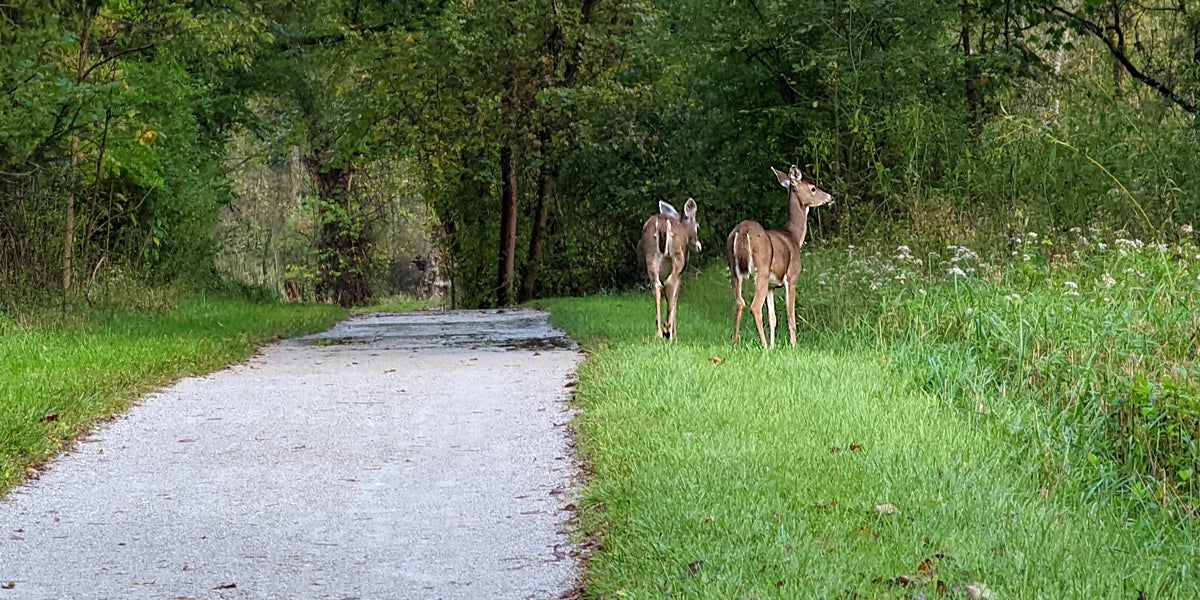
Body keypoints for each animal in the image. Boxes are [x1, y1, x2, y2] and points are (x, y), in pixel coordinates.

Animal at [638, 199, 700, 340]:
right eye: (697, 226)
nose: (699, 246)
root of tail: (662, 224)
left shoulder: (663, 273)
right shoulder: (680, 274)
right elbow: (675, 299)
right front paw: (674, 332)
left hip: (651, 257)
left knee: (657, 286)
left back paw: (659, 332)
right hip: (677, 257)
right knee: (669, 284)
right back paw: (667, 330)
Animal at [720, 166, 835, 350]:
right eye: (813, 188)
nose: (831, 197)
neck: (794, 237)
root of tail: (742, 231)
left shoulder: (772, 286)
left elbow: (773, 317)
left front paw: (774, 345)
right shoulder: (792, 277)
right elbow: (790, 315)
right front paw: (793, 345)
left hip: (733, 270)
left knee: (739, 302)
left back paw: (735, 342)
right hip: (761, 269)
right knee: (754, 306)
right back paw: (763, 345)